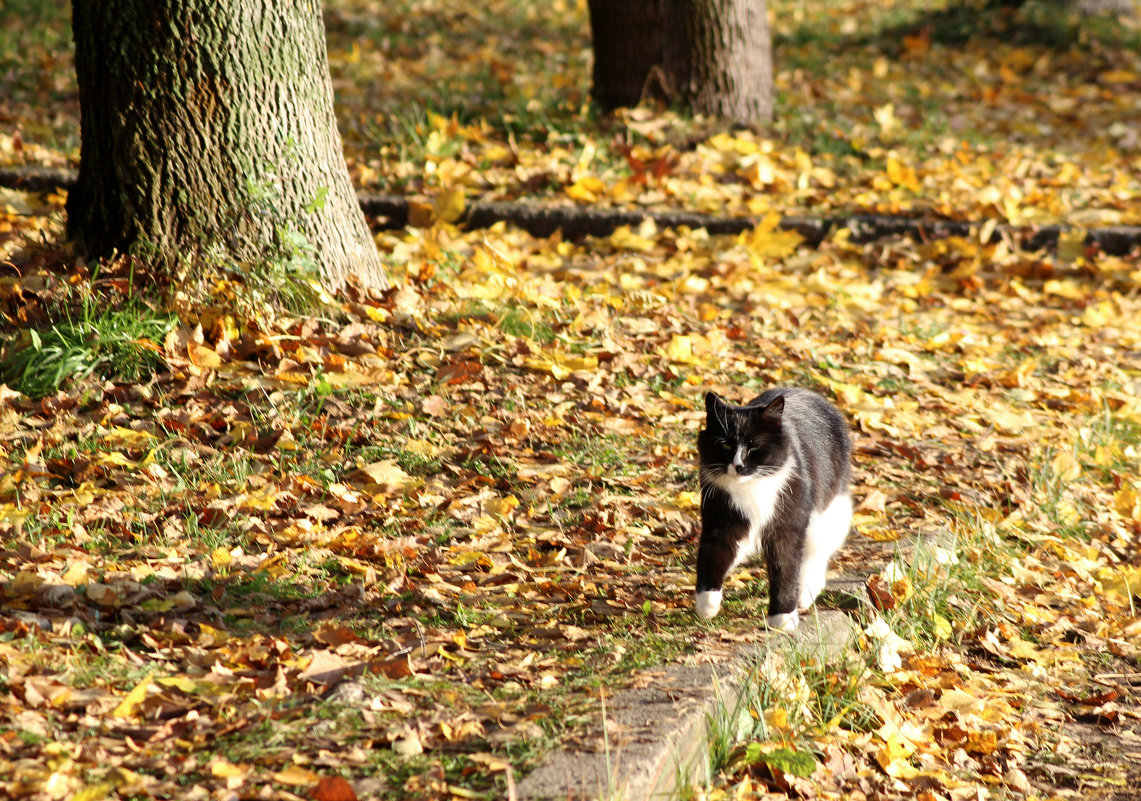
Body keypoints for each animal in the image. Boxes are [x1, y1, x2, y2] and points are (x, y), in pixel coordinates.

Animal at [689, 387, 853, 634]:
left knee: (818, 550)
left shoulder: (786, 529)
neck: (752, 486)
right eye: (725, 445)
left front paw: (782, 618)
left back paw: (806, 593)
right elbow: (712, 557)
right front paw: (707, 604)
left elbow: (785, 571)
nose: (737, 466)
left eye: (754, 446)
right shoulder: (721, 521)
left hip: (828, 509)